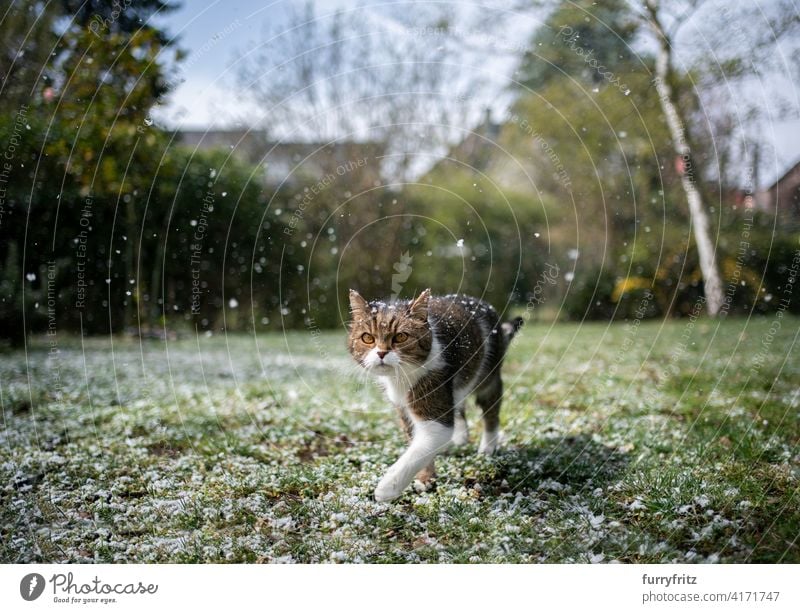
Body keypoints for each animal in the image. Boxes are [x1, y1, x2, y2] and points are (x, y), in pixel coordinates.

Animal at [346, 290, 520, 500]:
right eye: (367, 338)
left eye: (401, 337)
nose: (381, 353)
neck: (401, 377)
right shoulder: (403, 409)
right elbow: (417, 441)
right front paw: (425, 479)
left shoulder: (433, 390)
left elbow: (420, 447)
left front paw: (386, 488)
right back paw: (460, 437)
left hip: (489, 375)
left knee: (491, 410)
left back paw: (487, 448)